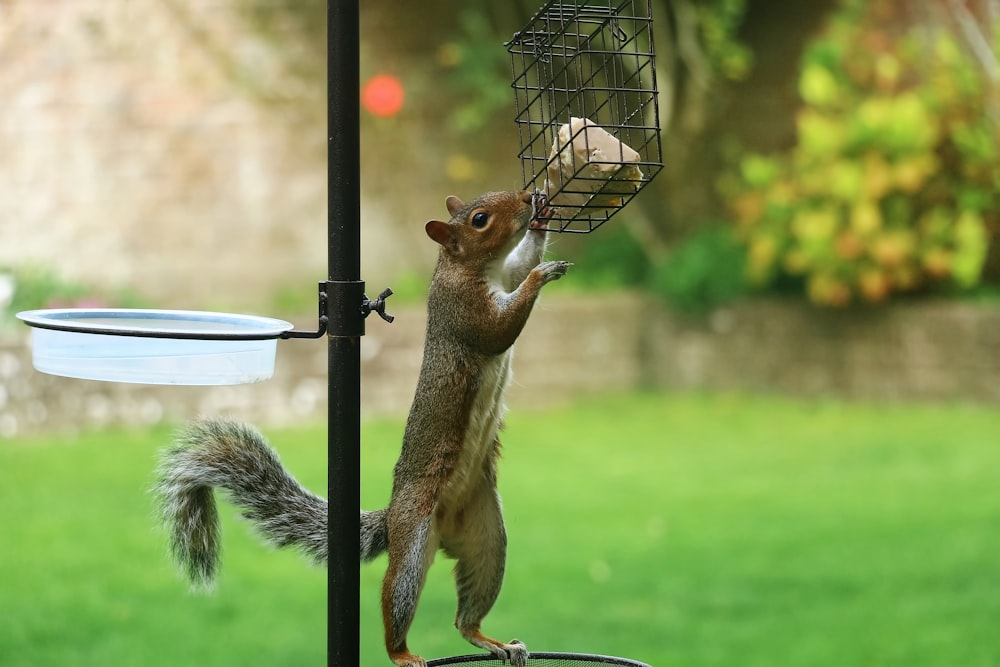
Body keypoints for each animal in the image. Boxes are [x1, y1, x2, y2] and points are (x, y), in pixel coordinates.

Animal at [160, 189, 576, 667]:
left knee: (465, 618)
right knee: (396, 596)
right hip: (414, 541)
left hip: (487, 538)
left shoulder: (504, 275)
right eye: (480, 219)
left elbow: (519, 266)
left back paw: (492, 641)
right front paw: (543, 274)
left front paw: (543, 222)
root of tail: (398, 518)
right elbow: (499, 328)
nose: (527, 198)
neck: (469, 267)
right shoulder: (464, 310)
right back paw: (402, 654)